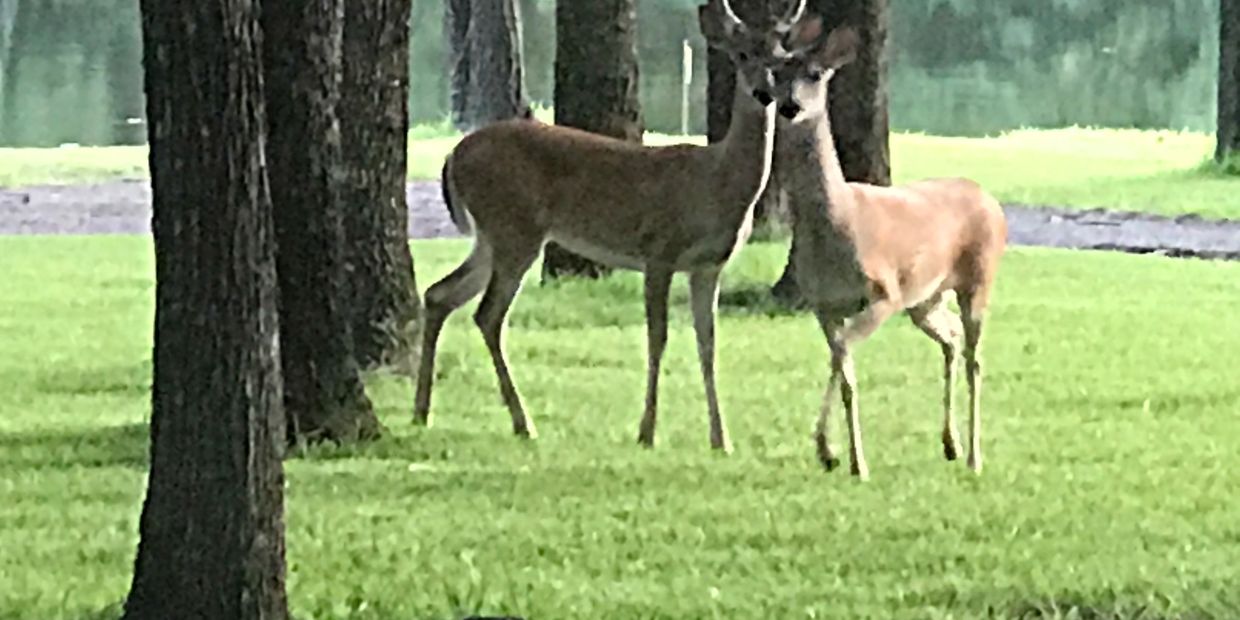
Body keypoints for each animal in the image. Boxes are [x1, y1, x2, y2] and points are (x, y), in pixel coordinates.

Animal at [411, 1, 808, 456]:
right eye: (741, 55)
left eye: (781, 59)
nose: (765, 93)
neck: (716, 184)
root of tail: (453, 156)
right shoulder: (659, 250)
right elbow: (658, 337)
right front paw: (647, 432)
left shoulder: (708, 266)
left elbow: (707, 344)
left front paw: (720, 439)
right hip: (514, 228)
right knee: (487, 314)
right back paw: (523, 423)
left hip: (490, 236)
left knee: (439, 294)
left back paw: (422, 410)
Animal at [763, 14, 1006, 478]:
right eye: (776, 74)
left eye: (815, 74)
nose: (789, 106)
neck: (836, 225)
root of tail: (989, 197)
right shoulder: (823, 303)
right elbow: (844, 369)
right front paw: (835, 453)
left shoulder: (884, 292)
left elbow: (841, 356)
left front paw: (843, 455)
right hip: (926, 297)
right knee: (950, 339)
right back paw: (949, 443)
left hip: (978, 278)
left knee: (974, 357)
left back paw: (974, 456)